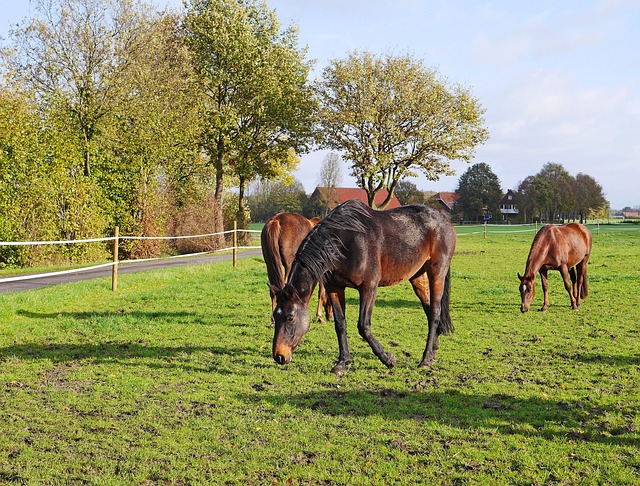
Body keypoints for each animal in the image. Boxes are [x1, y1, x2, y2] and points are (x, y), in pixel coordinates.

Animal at [268, 198, 456, 376]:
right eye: (275, 316)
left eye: (290, 317)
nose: (279, 356)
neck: (345, 240)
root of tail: (444, 221)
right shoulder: (334, 288)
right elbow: (340, 324)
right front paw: (342, 363)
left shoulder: (369, 288)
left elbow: (363, 326)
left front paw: (388, 359)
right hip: (418, 276)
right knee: (428, 309)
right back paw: (433, 352)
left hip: (437, 272)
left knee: (435, 312)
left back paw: (425, 359)